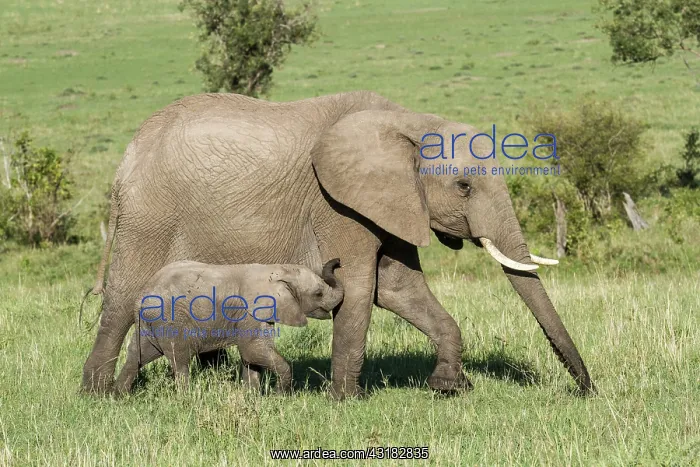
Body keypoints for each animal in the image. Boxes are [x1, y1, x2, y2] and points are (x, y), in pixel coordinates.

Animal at [113, 258, 344, 395]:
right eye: (318, 294)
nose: (338, 262)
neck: (276, 270)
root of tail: (141, 296)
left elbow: (252, 357)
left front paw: (252, 397)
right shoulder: (249, 310)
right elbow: (253, 350)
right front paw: (280, 395)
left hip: (150, 323)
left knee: (136, 357)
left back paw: (119, 396)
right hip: (170, 321)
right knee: (180, 361)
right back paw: (186, 399)